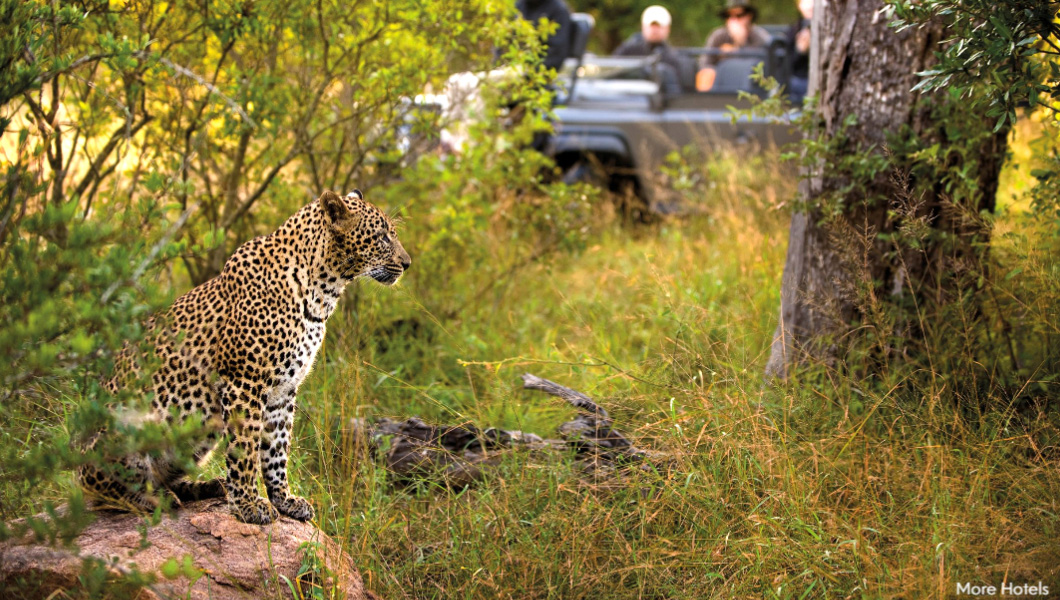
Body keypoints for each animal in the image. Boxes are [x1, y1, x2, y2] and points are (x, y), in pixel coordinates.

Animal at [77, 190, 409, 523]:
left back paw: (206, 486)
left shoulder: (283, 391)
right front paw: (248, 504)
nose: (407, 263)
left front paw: (284, 500)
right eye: (382, 237)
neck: (323, 293)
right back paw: (154, 500)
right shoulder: (244, 382)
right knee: (103, 489)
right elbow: (245, 448)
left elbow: (276, 449)